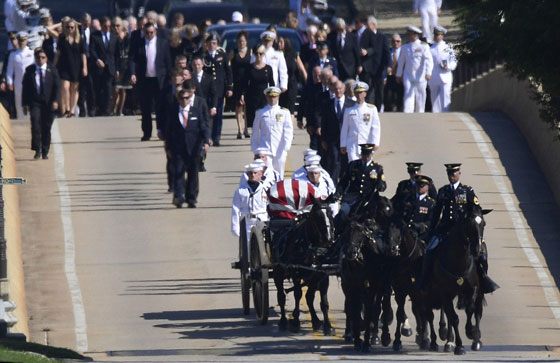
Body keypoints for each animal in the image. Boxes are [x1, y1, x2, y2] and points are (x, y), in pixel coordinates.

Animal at [272, 196, 334, 336]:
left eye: (330, 213)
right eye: (317, 215)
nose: (328, 239)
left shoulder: (322, 274)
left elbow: (323, 301)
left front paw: (328, 326)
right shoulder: (296, 272)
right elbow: (297, 294)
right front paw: (295, 321)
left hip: (311, 278)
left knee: (309, 297)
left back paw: (315, 321)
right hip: (278, 272)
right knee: (281, 296)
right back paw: (283, 321)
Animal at [420, 202, 490, 356]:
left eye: (483, 223)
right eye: (469, 224)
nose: (477, 250)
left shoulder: (473, 288)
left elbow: (470, 309)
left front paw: (470, 331)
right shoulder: (444, 292)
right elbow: (454, 318)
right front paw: (459, 346)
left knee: (477, 310)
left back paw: (475, 340)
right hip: (431, 293)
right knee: (431, 314)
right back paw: (438, 341)